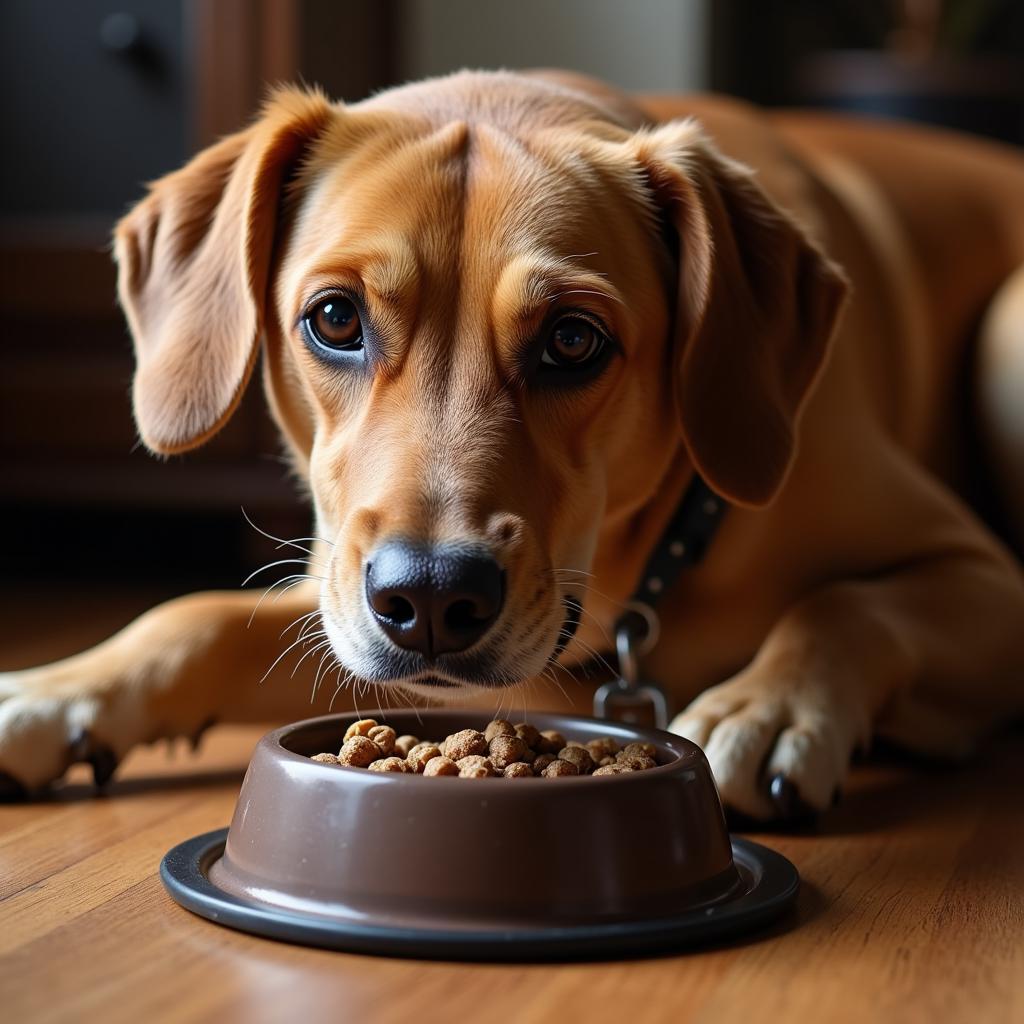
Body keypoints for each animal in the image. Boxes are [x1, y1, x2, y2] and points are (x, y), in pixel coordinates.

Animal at [2, 68, 1024, 819]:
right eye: (334, 319)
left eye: (573, 340)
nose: (426, 600)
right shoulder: (337, 600)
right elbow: (196, 617)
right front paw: (55, 693)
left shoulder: (988, 578)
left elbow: (845, 606)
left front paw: (770, 709)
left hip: (1007, 335)